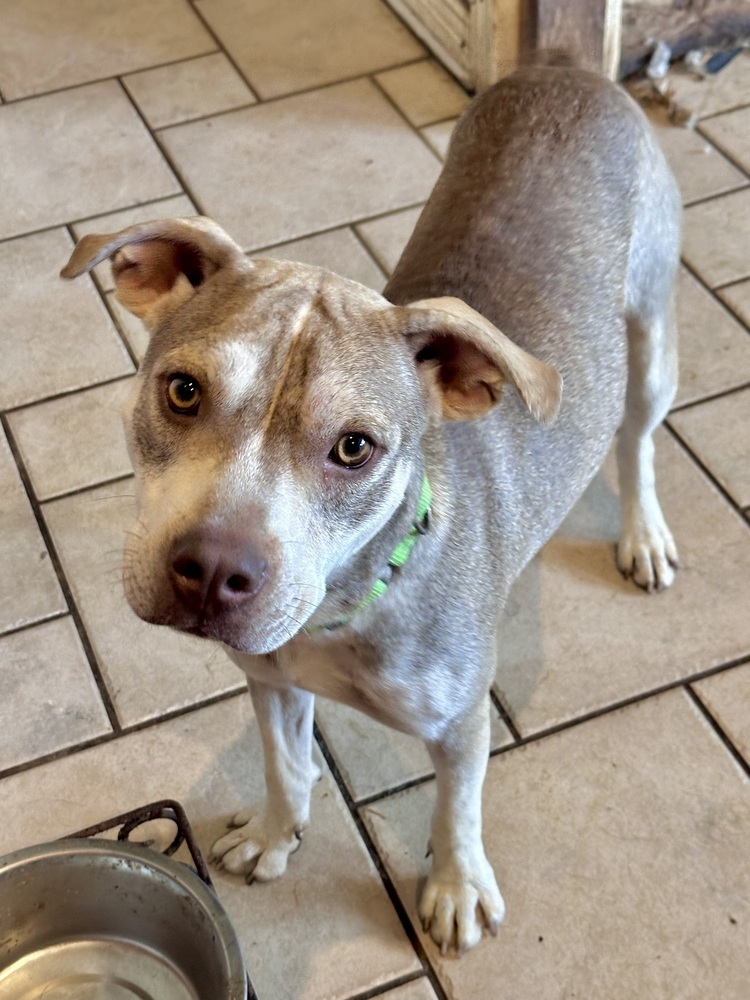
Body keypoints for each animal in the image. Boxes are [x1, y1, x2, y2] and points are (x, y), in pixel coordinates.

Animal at [61, 60, 684, 952]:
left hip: (652, 337)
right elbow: (285, 764)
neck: (345, 605)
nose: (211, 572)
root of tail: (566, 68)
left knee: (637, 442)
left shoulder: (460, 722)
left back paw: (644, 535)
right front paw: (274, 835)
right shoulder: (270, 680)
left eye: (356, 447)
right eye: (182, 390)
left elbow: (458, 809)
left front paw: (456, 887)